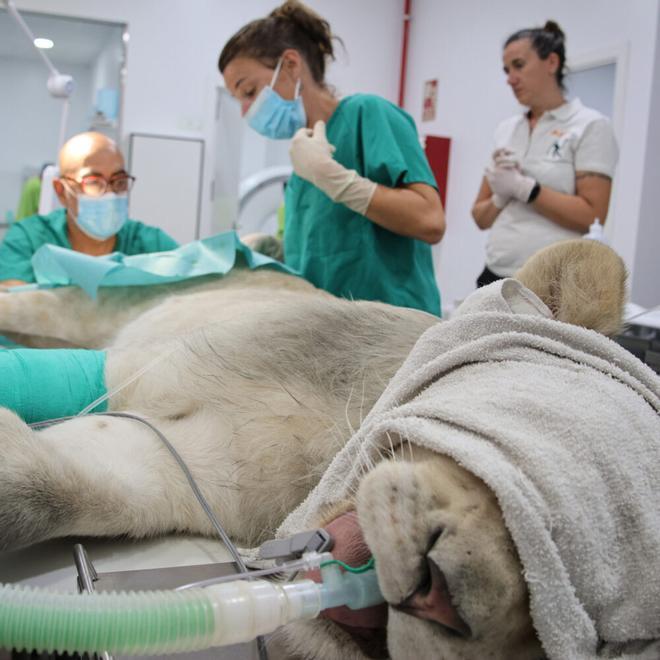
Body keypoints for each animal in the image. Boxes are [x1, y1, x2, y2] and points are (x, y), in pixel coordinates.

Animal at [1, 238, 654, 660]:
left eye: (603, 626)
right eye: (517, 426)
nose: (444, 598)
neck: (326, 442)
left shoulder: (178, 463)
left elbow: (45, 487)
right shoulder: (137, 374)